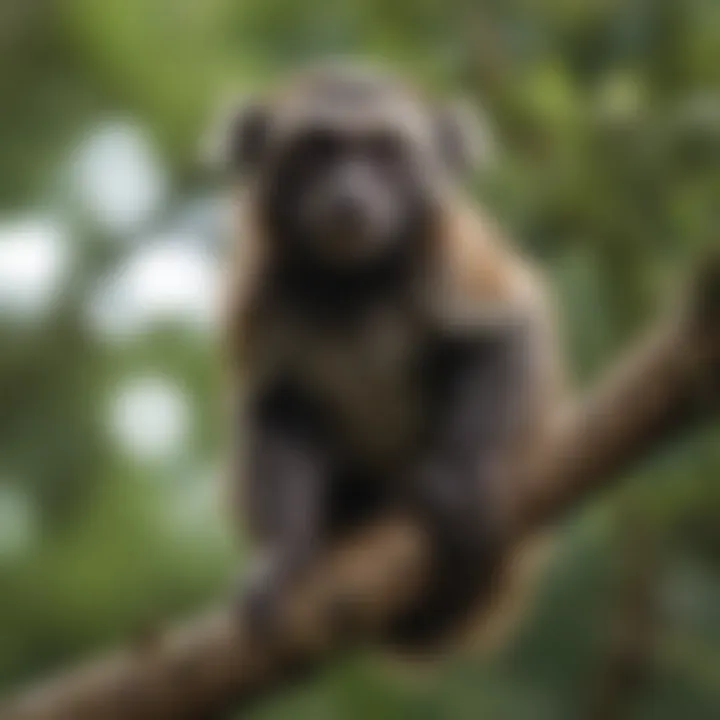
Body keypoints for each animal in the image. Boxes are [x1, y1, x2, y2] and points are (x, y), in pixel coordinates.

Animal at [211, 63, 564, 652]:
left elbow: (504, 335)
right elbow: (278, 407)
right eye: (316, 150)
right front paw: (285, 551)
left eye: (385, 153)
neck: (355, 283)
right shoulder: (262, 290)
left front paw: (461, 467)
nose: (349, 194)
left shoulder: (448, 251)